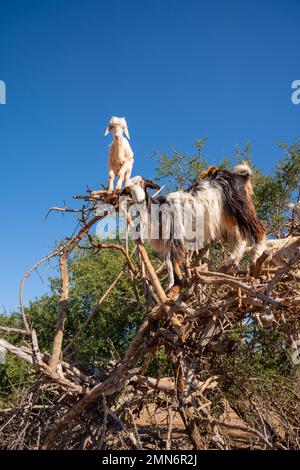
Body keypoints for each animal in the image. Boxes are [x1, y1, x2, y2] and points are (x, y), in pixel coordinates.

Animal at [123, 164, 266, 290]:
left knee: (259, 229)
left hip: (241, 209)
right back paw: (230, 261)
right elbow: (170, 261)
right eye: (128, 189)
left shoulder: (175, 234)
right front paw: (175, 283)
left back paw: (255, 258)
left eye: (143, 183)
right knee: (240, 239)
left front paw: (170, 285)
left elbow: (170, 260)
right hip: (227, 220)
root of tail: (240, 177)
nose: (140, 200)